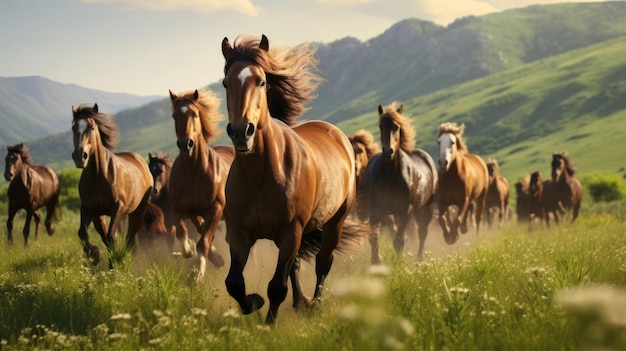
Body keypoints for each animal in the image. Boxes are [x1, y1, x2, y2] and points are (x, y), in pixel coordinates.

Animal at [70, 103, 152, 268]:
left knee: (131, 234)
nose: (79, 156)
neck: (98, 176)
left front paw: (113, 264)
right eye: (73, 128)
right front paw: (94, 255)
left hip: (138, 210)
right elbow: (83, 233)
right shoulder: (89, 209)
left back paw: (127, 256)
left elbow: (110, 237)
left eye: (92, 128)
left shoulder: (118, 207)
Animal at [167, 89, 235, 282]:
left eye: (195, 114)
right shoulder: (180, 209)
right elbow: (183, 234)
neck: (193, 172)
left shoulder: (216, 208)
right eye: (174, 115)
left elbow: (203, 241)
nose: (185, 144)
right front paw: (192, 249)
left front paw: (197, 273)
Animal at [221, 33, 364, 324]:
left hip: (334, 223)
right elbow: (234, 283)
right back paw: (301, 303)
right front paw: (253, 302)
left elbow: (277, 287)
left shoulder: (291, 232)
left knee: (323, 263)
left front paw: (268, 324)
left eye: (261, 81)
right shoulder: (240, 234)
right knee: (296, 264)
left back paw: (316, 304)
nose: (242, 131)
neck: (260, 177)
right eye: (225, 82)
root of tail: (335, 133)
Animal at [356, 104, 434, 264]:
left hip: (425, 208)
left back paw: (419, 259)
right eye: (381, 126)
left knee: (422, 232)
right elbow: (374, 238)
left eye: (396, 127)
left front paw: (399, 264)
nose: (388, 151)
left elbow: (399, 240)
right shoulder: (376, 209)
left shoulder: (406, 210)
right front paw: (376, 261)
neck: (391, 174)